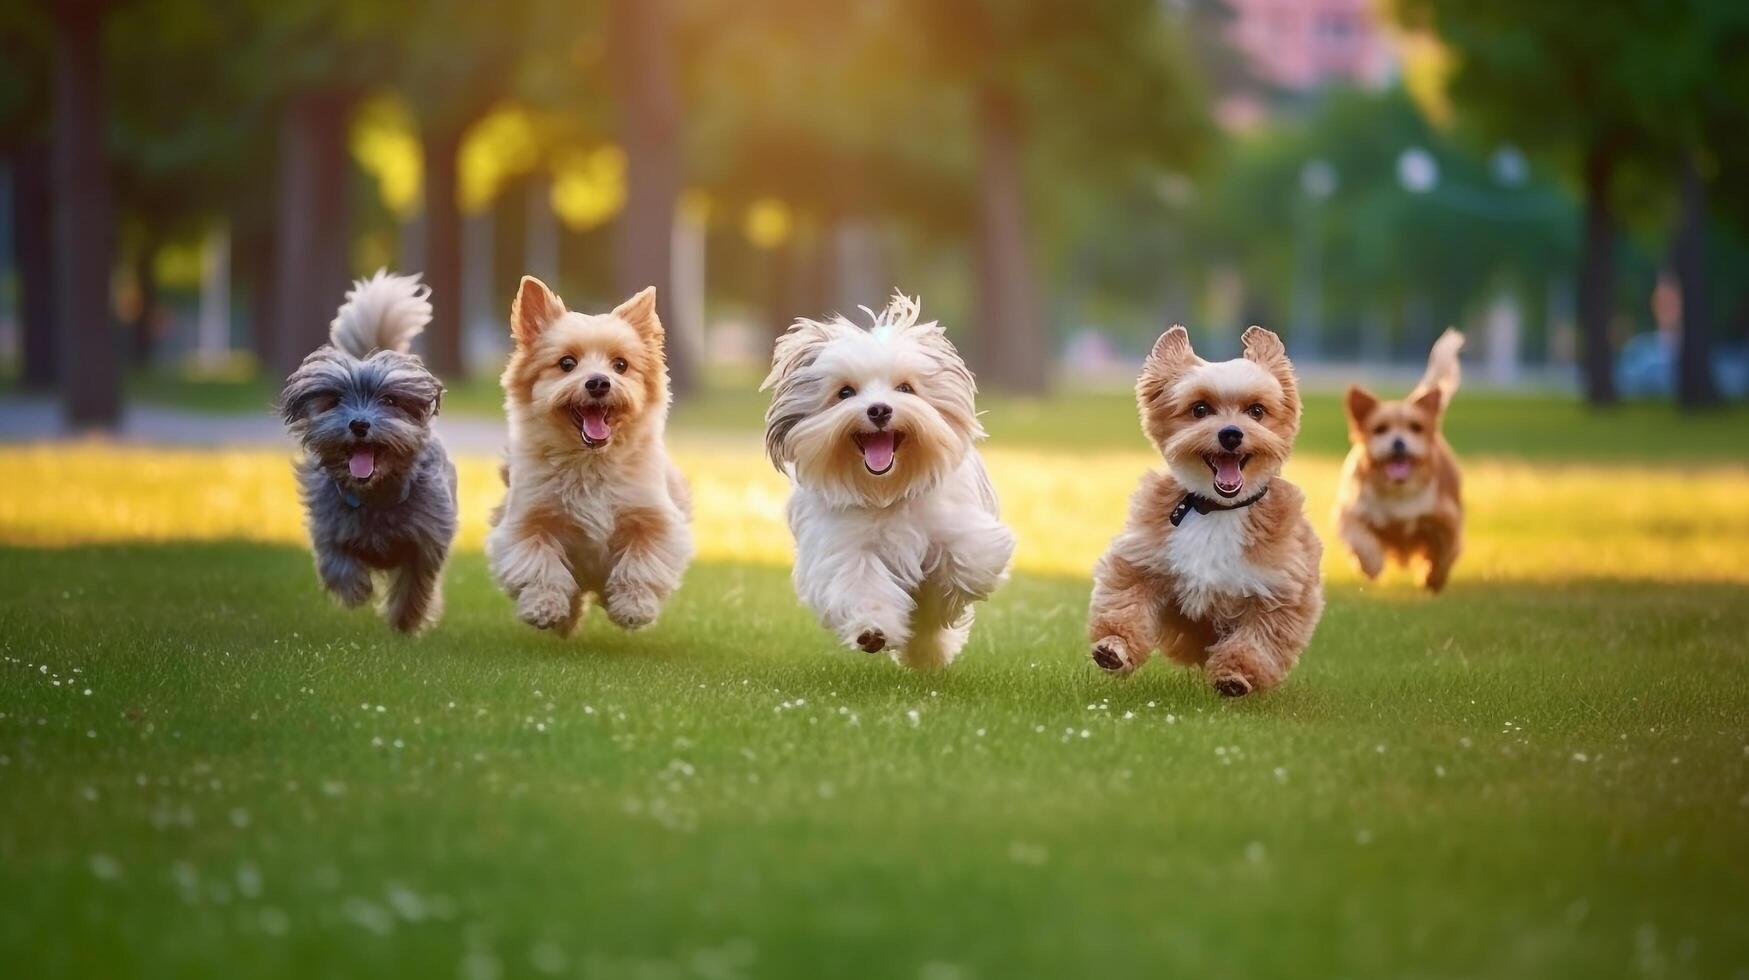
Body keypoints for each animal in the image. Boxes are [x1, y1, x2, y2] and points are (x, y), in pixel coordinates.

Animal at [279, 271, 458, 630]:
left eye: (389, 400)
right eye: (335, 400)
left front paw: (405, 619)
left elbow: (416, 582)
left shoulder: (428, 535)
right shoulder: (328, 526)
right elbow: (336, 562)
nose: (359, 424)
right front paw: (354, 589)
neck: (374, 495)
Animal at [759, 294, 1021, 668]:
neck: (887, 491)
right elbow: (861, 585)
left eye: (905, 388)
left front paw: (938, 601)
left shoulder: (963, 531)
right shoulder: (844, 548)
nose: (879, 409)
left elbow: (968, 564)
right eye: (845, 392)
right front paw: (872, 631)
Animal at [1077, 327, 1322, 696]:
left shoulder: (1278, 590)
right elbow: (1127, 604)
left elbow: (1258, 639)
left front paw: (1235, 675)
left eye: (1256, 410)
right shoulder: (1142, 559)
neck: (1215, 509)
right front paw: (1114, 646)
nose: (1231, 434)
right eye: (1200, 409)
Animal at [1336, 329, 1462, 588]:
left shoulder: (1446, 518)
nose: (1398, 442)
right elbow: (1361, 540)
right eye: (1380, 429)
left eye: (1415, 427)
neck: (1397, 491)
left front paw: (1434, 577)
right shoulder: (1351, 512)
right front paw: (1372, 566)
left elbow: (1445, 548)